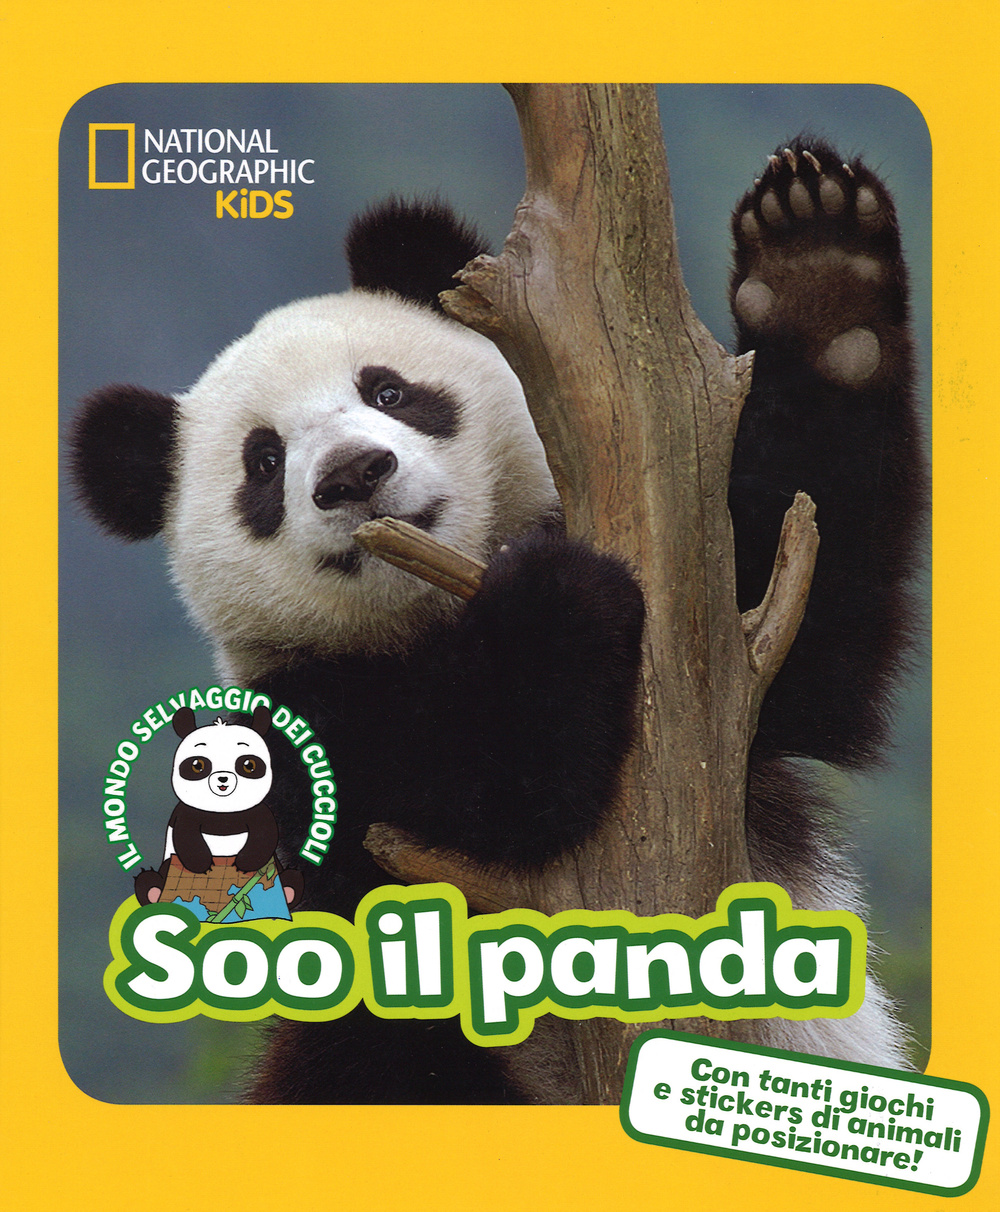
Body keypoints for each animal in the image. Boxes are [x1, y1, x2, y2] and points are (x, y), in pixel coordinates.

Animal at [70, 140, 926, 1103]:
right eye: (263, 462)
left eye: (390, 391)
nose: (354, 474)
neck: (432, 610)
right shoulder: (301, 732)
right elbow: (484, 789)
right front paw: (556, 594)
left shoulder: (732, 675)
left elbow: (806, 596)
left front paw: (818, 271)